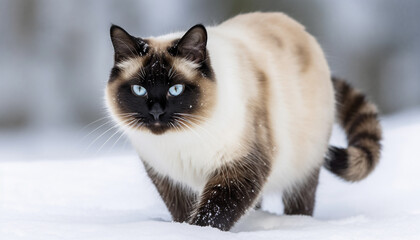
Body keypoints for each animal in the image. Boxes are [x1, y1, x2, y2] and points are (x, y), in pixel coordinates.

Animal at [104, 11, 380, 231]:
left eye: (176, 90)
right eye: (139, 90)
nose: (156, 114)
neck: (183, 139)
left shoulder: (240, 168)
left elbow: (213, 214)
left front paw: (197, 232)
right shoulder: (169, 178)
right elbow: (182, 213)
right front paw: (182, 230)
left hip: (303, 167)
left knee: (301, 202)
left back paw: (299, 223)